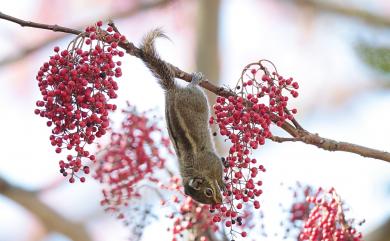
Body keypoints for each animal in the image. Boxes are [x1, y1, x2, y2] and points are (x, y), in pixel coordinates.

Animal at [139, 28, 225, 205]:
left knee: (194, 88)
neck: (197, 171)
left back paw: (195, 80)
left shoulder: (212, 161)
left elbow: (219, 173)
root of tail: (172, 91)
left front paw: (223, 183)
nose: (219, 203)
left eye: (207, 192)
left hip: (197, 98)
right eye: (204, 199)